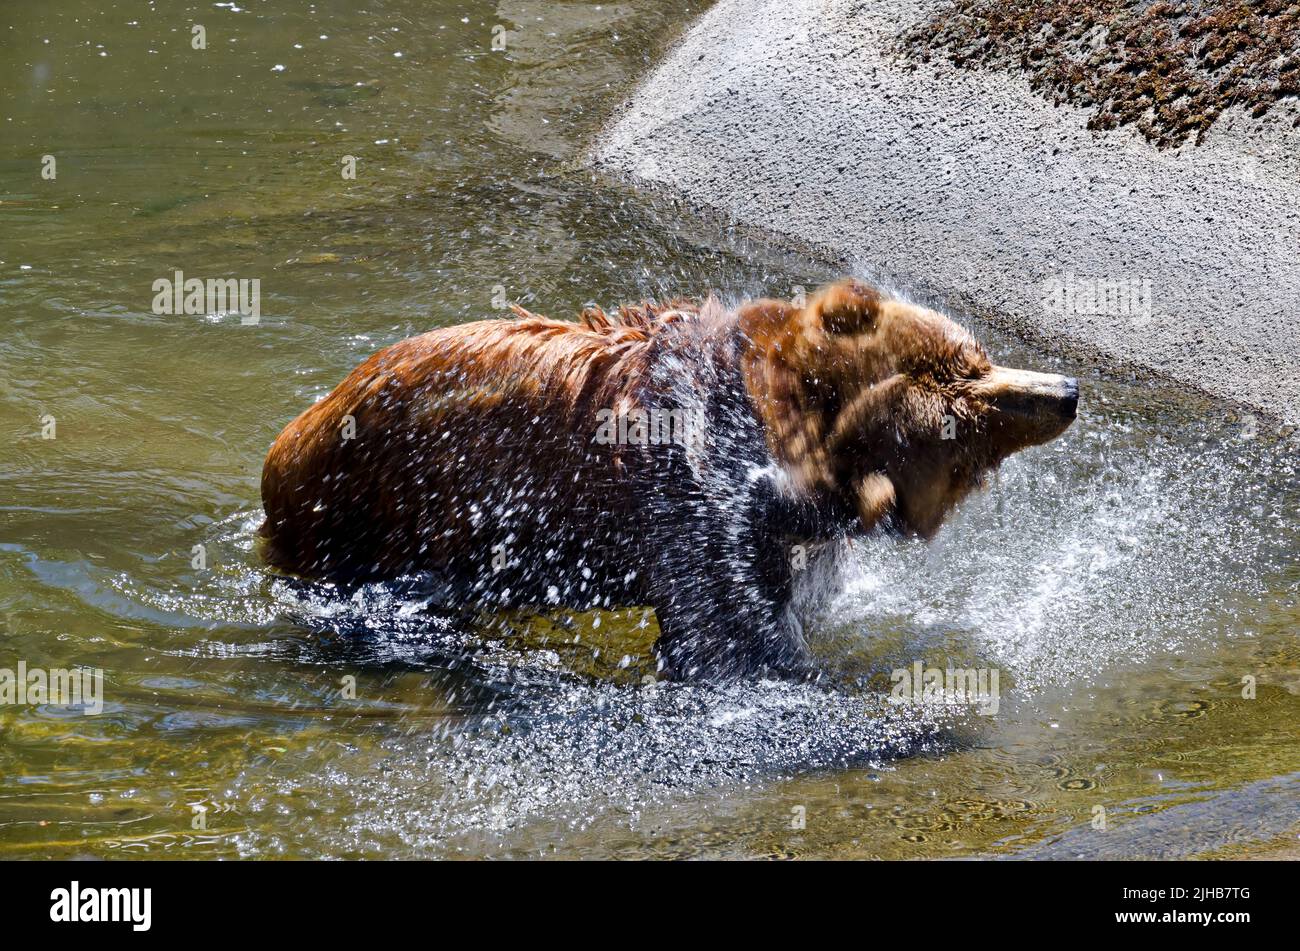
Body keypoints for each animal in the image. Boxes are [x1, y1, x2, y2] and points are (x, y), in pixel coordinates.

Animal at [261, 278, 1076, 680]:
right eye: (969, 389)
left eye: (974, 356)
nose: (1065, 390)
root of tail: (287, 441)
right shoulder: (698, 513)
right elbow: (724, 635)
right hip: (375, 521)